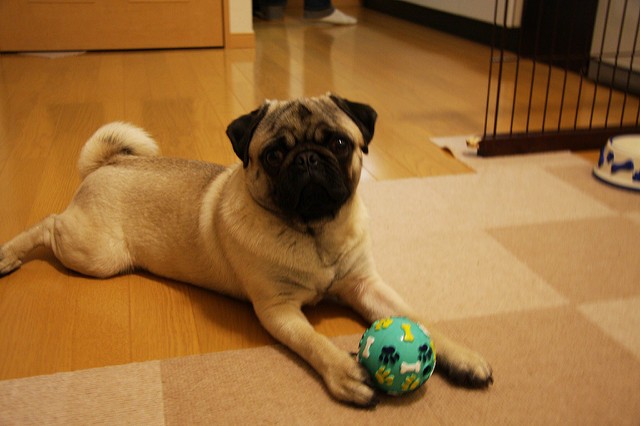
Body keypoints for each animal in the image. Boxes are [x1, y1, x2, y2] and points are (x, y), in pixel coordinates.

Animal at [0, 93, 492, 406]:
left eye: (338, 143)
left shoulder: (365, 286)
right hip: (96, 254)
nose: (308, 158)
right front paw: (346, 372)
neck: (314, 232)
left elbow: (419, 319)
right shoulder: (278, 309)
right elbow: (314, 341)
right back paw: (9, 255)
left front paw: (462, 357)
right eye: (274, 154)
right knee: (48, 224)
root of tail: (112, 162)